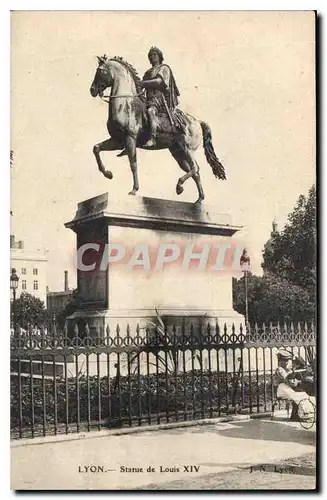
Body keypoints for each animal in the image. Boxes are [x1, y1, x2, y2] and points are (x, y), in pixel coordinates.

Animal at [91, 55, 227, 203]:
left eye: (100, 71)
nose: (92, 90)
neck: (125, 104)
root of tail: (197, 121)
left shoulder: (130, 139)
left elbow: (133, 163)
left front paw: (134, 189)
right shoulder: (117, 141)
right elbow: (96, 148)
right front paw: (108, 174)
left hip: (188, 150)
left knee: (195, 168)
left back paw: (179, 186)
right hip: (178, 153)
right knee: (194, 172)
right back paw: (198, 199)